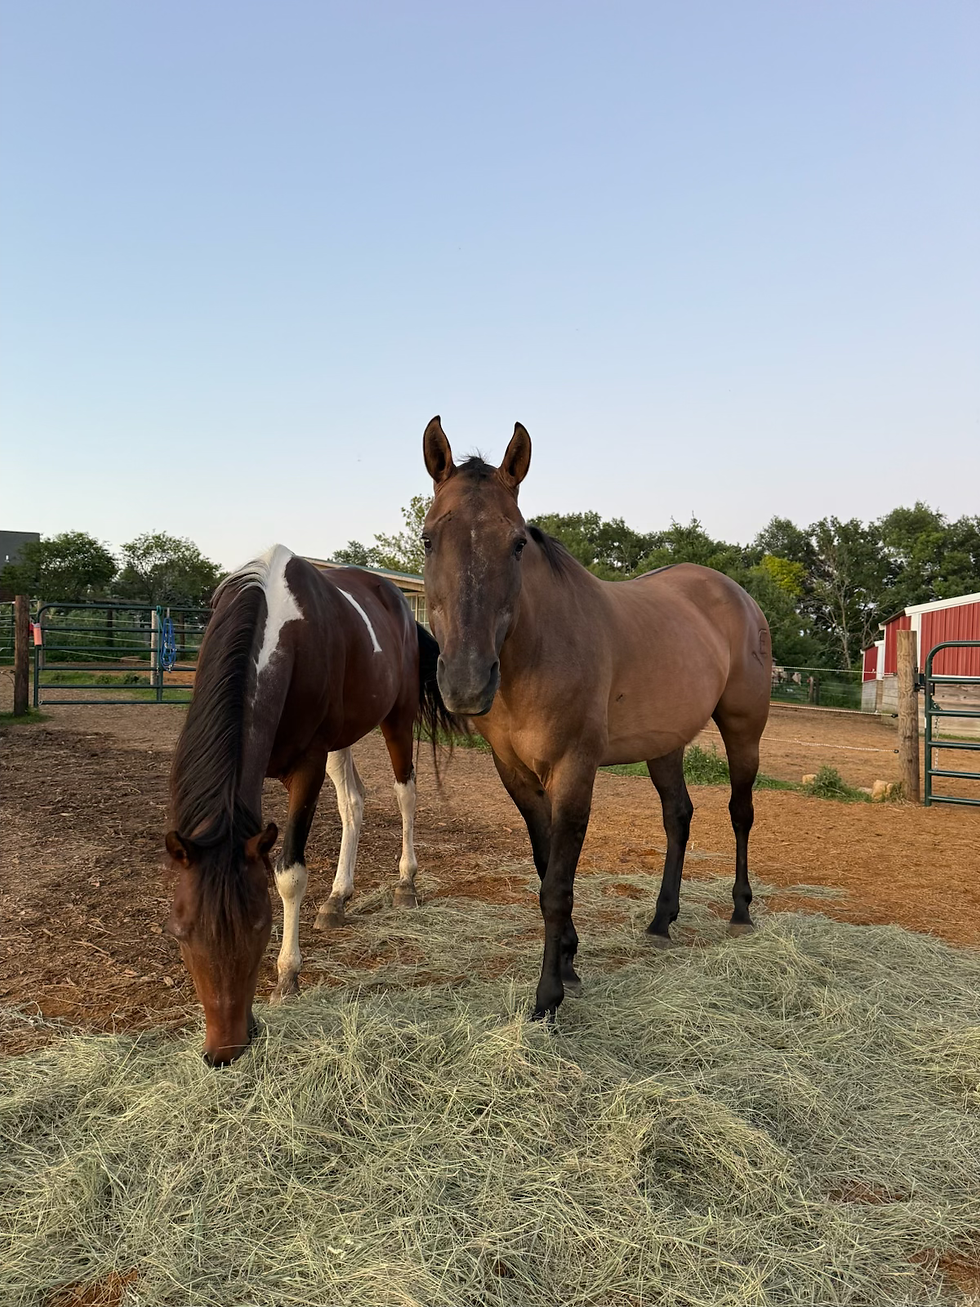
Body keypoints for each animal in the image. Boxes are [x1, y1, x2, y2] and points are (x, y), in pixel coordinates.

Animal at [164, 544, 454, 1065]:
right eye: (180, 933)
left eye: (261, 926)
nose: (225, 1051)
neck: (278, 623)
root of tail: (400, 602)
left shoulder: (308, 766)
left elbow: (289, 874)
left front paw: (287, 977)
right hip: (344, 737)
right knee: (353, 803)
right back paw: (338, 898)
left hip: (397, 719)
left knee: (405, 794)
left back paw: (406, 883)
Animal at [420, 417, 771, 1021]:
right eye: (427, 538)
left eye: (517, 543)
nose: (466, 681)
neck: (538, 648)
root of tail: (738, 595)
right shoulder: (515, 774)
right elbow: (546, 867)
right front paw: (568, 959)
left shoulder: (574, 770)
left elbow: (557, 884)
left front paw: (549, 996)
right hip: (665, 743)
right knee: (679, 816)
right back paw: (660, 921)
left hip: (743, 729)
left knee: (740, 812)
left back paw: (740, 912)